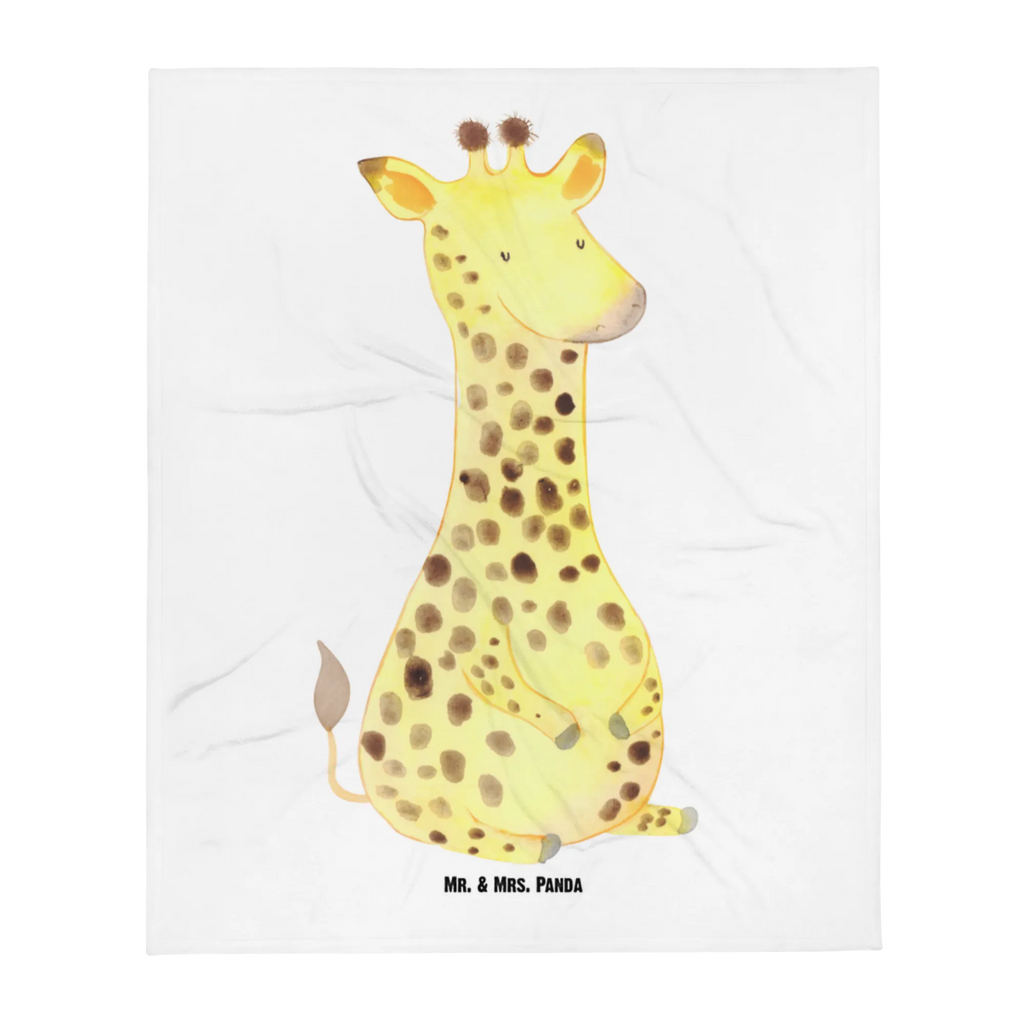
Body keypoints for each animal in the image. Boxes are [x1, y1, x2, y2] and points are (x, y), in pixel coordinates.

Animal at [314, 116, 697, 864]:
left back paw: (670, 815)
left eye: (580, 234)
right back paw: (535, 843)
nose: (628, 302)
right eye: (503, 252)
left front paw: (624, 715)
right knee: (456, 827)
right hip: (417, 798)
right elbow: (492, 674)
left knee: (618, 812)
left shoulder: (639, 652)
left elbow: (652, 679)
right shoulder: (477, 644)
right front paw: (566, 725)